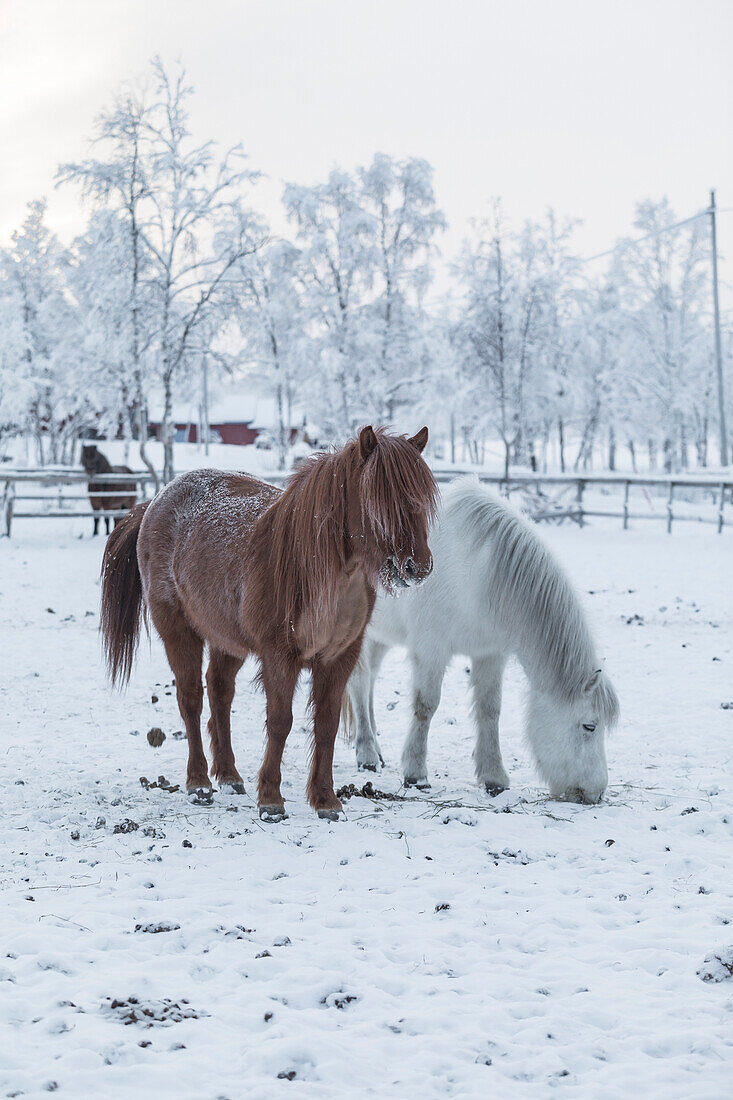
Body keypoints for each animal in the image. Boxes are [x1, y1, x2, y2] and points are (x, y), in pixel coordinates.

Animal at [100, 424, 435, 822]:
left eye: (421, 498)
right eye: (377, 497)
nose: (418, 566)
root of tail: (154, 502)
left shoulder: (339, 659)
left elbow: (326, 725)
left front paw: (326, 801)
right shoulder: (280, 657)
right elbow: (280, 723)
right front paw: (271, 800)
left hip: (226, 640)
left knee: (219, 693)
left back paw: (229, 776)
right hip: (178, 631)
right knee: (191, 699)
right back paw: (199, 783)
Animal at [343, 477, 616, 805]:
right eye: (589, 726)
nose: (596, 793)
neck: (477, 572)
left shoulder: (490, 654)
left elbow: (490, 709)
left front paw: (494, 778)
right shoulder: (431, 650)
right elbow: (425, 706)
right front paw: (415, 774)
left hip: (381, 636)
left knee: (370, 682)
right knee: (360, 684)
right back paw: (367, 755)